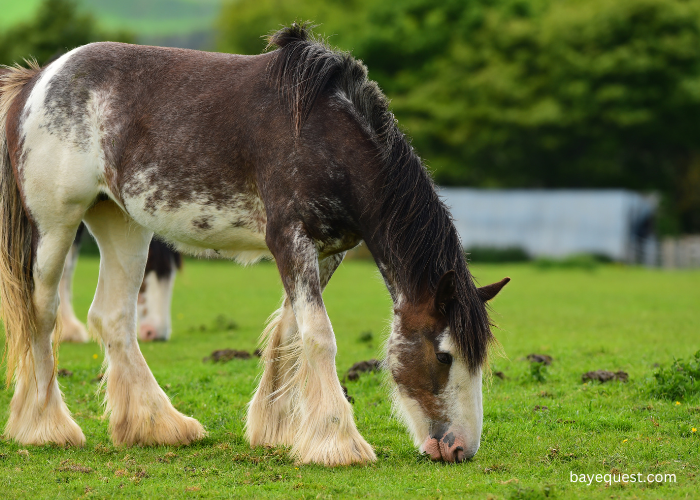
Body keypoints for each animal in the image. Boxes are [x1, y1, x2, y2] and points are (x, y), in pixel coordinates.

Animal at [2, 24, 512, 464]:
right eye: (444, 355)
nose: (460, 448)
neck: (324, 136)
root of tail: (39, 79)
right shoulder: (289, 239)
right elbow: (318, 336)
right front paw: (337, 443)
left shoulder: (327, 252)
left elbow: (290, 334)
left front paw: (278, 430)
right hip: (57, 227)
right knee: (41, 314)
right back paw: (46, 427)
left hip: (123, 225)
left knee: (112, 318)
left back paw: (156, 425)